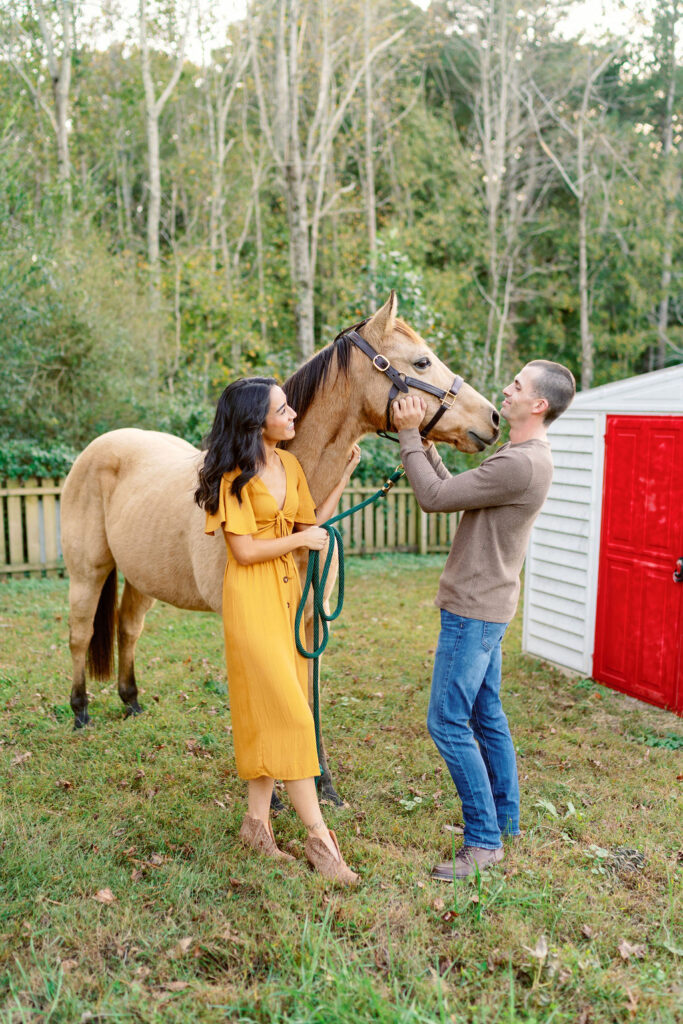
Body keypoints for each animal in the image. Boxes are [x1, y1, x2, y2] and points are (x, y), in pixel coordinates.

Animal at [61, 292, 499, 802]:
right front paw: (271, 788)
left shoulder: (309, 619)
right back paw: (80, 712)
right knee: (79, 635)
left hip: (141, 578)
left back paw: (131, 703)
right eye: (422, 361)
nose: (492, 418)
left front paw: (322, 781)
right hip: (88, 573)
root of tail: (99, 447)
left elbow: (306, 693)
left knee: (128, 629)